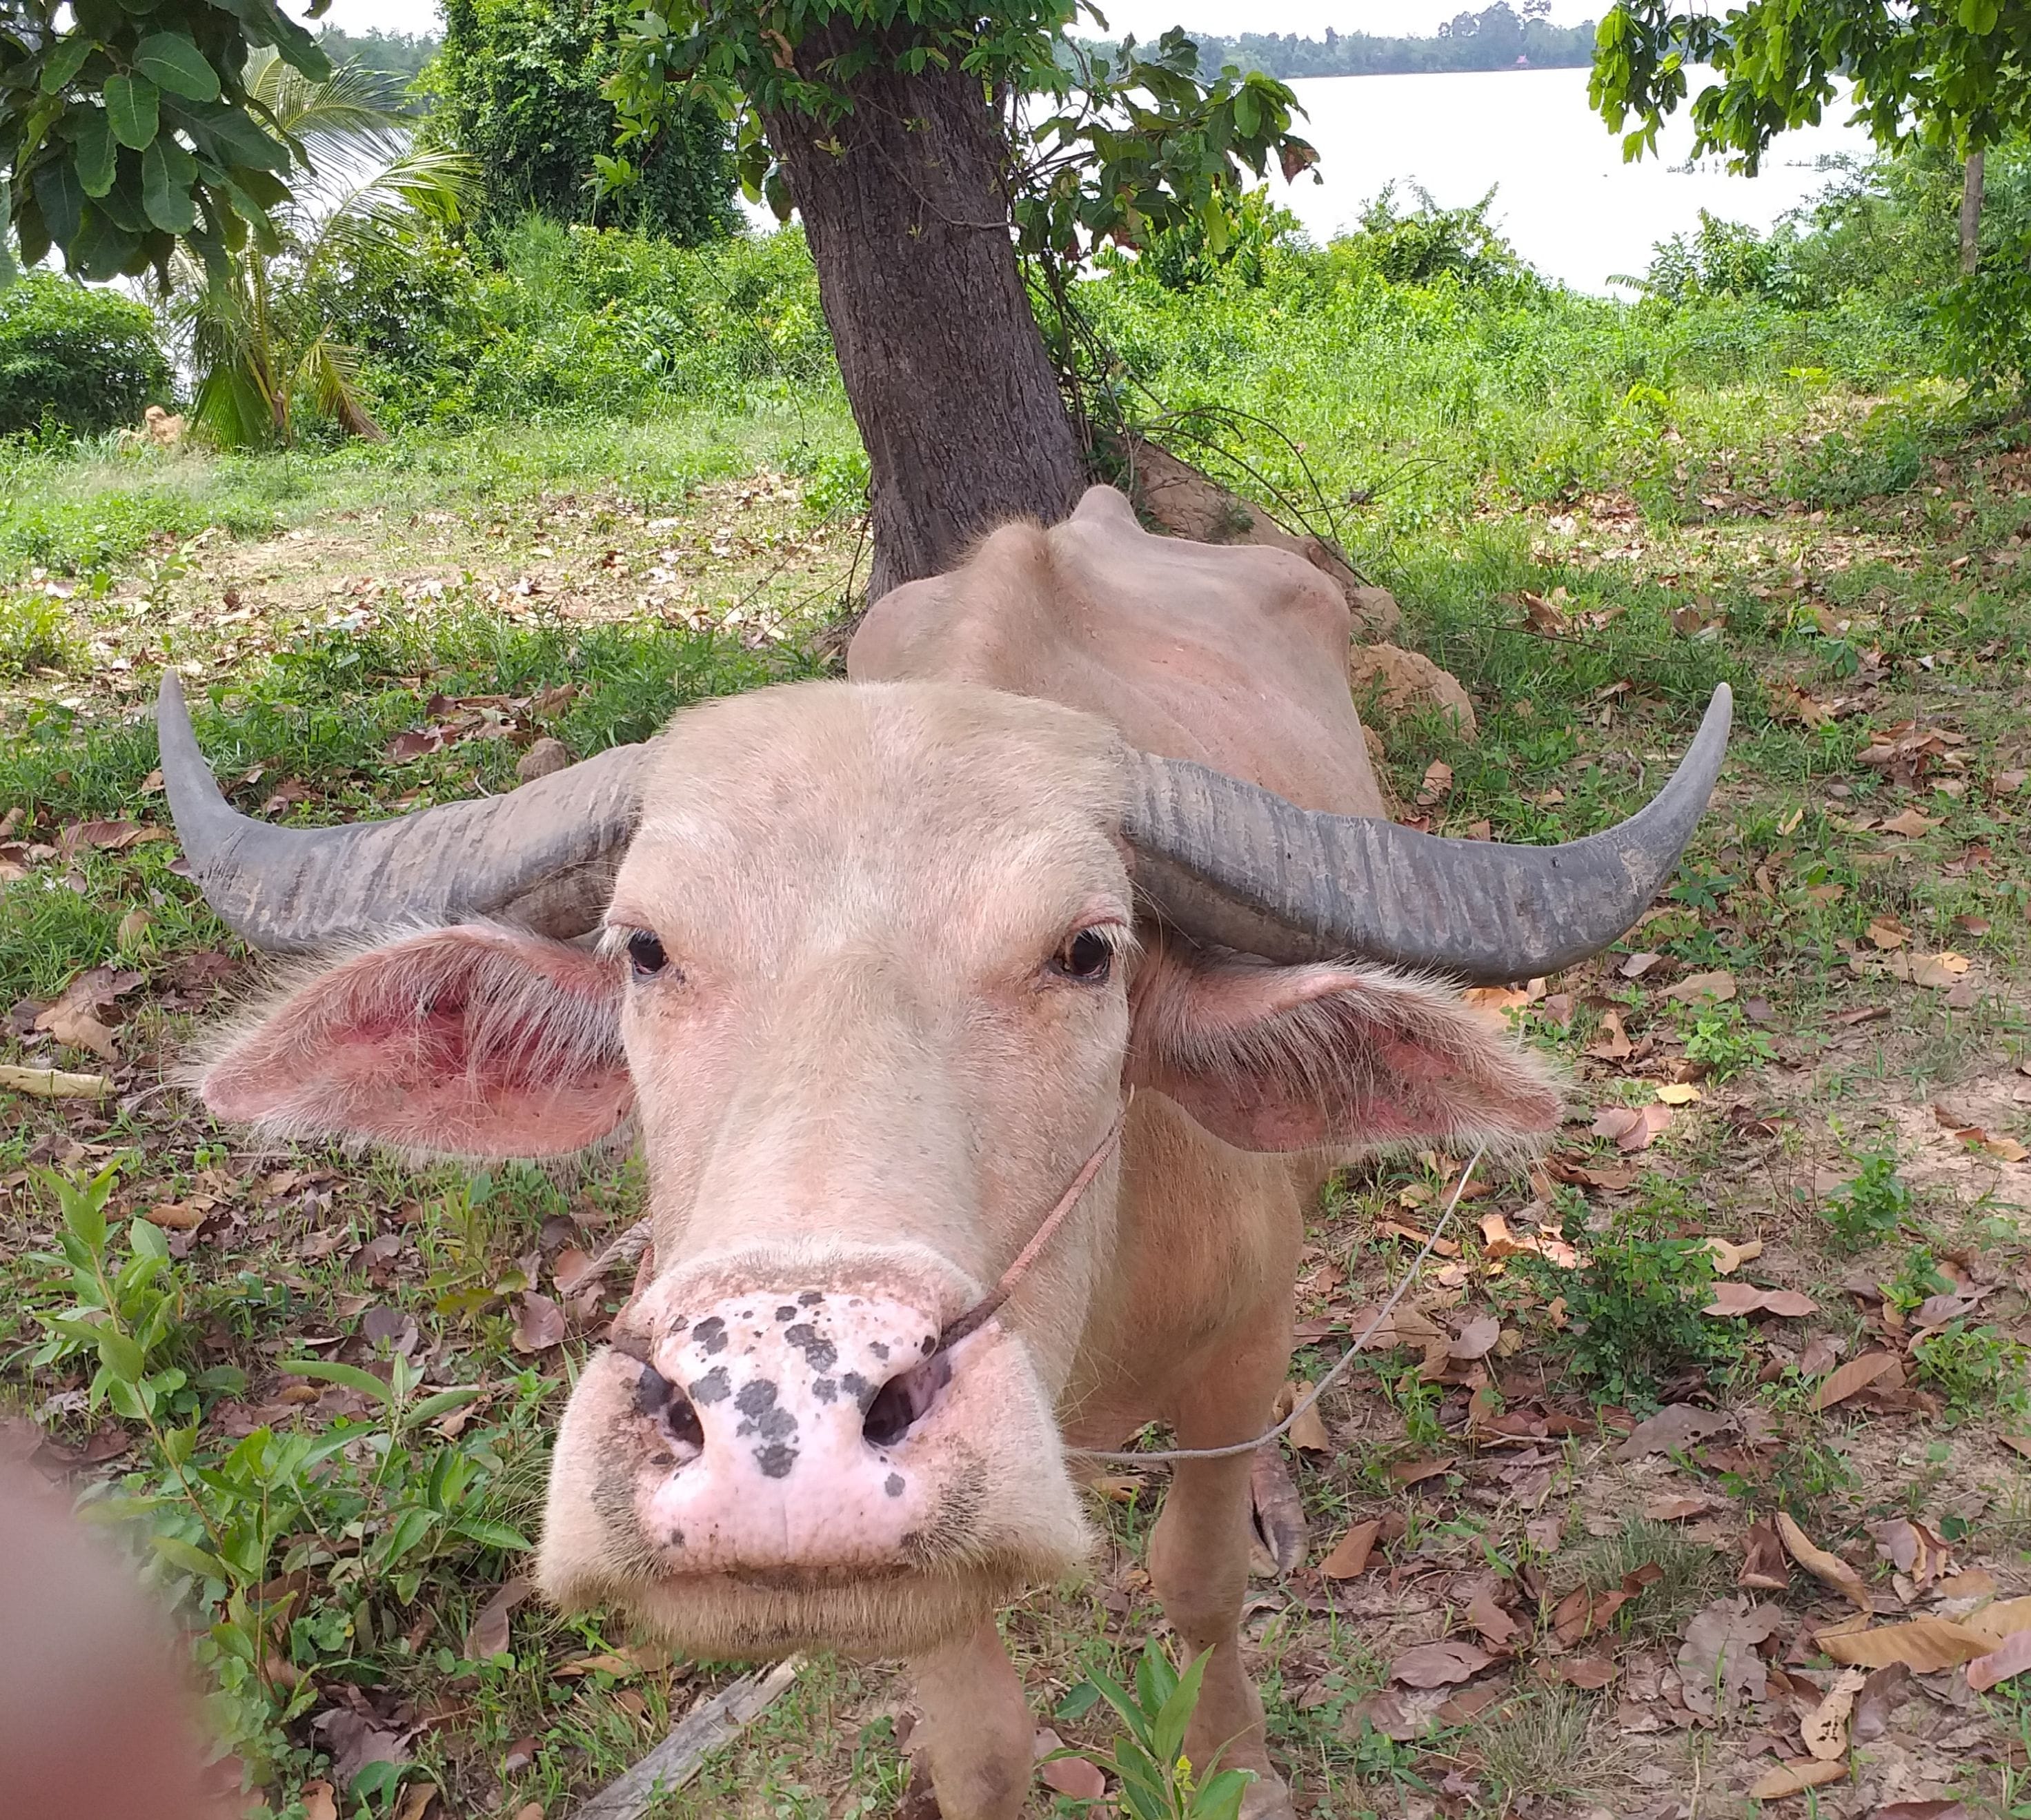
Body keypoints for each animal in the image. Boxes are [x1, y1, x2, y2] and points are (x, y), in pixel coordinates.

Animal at [158, 486, 1728, 1816]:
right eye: (644, 947)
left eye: (1086, 950)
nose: (777, 1424)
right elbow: (977, 1733)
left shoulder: (1242, 1338)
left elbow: (1197, 1579)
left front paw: (1236, 1763)